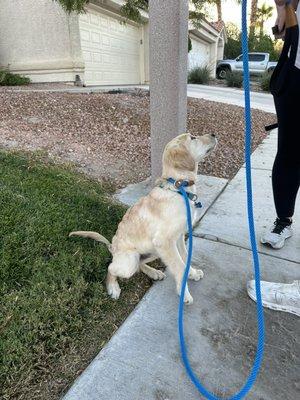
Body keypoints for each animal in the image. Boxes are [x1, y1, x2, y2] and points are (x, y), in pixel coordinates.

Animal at [69, 133, 217, 304]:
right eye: (193, 138)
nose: (214, 134)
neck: (179, 188)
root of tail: (113, 248)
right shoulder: (165, 241)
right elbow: (180, 267)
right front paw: (184, 293)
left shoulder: (178, 237)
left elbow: (186, 258)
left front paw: (192, 273)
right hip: (131, 260)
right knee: (111, 268)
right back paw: (113, 287)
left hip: (153, 251)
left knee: (139, 264)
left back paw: (154, 272)